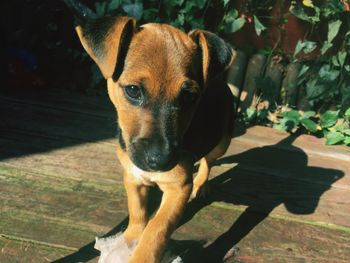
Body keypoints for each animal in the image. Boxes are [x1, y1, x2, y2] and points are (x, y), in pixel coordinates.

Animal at [64, 1, 237, 262]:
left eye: (189, 97)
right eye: (133, 90)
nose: (160, 161)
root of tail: (220, 81)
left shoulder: (178, 188)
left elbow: (157, 228)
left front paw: (141, 254)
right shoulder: (133, 176)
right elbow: (137, 213)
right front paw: (129, 240)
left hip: (222, 141)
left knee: (209, 160)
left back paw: (201, 184)